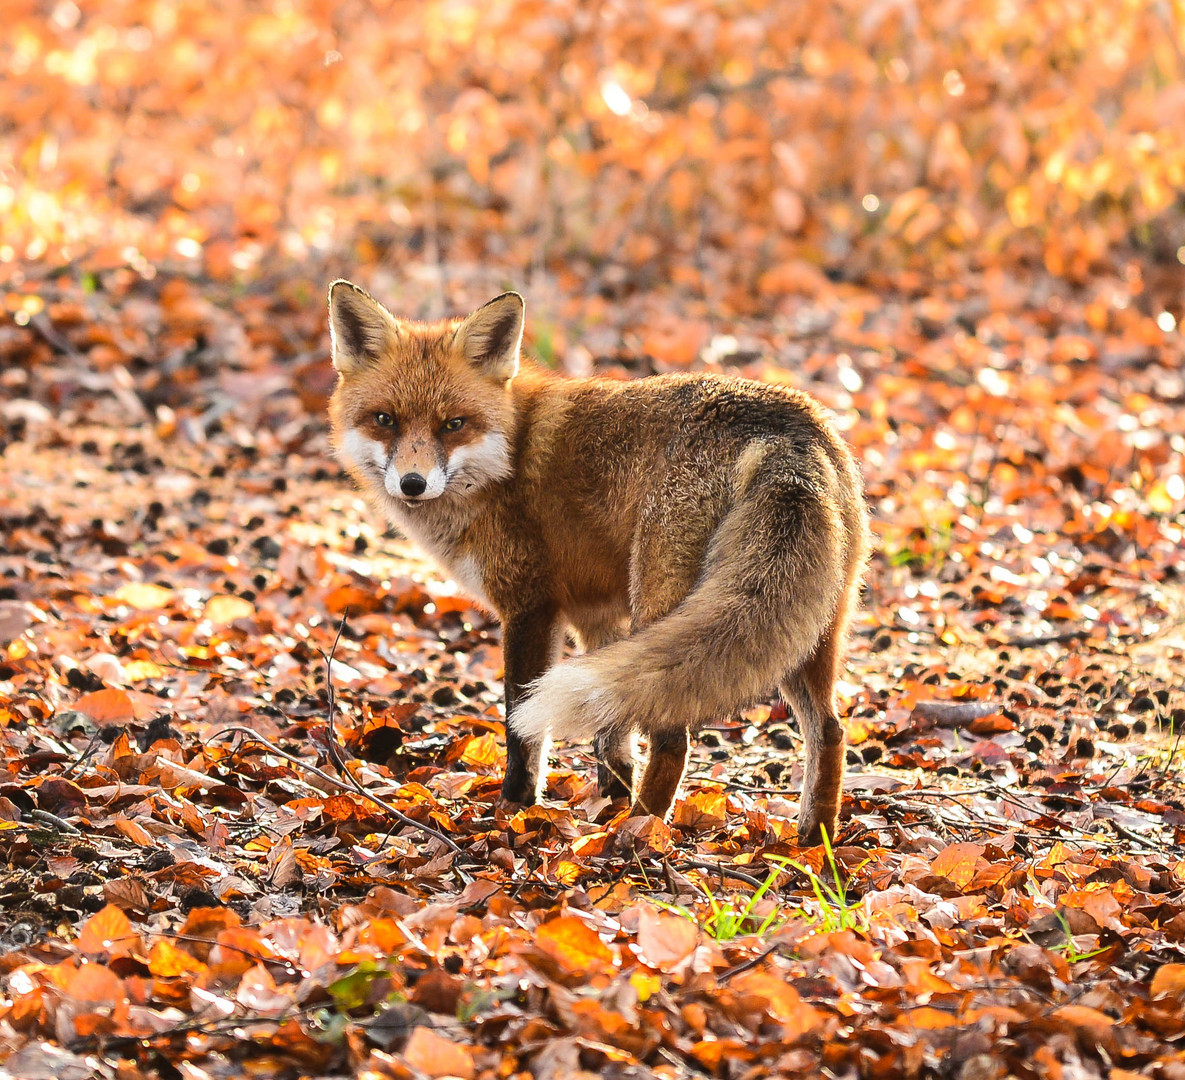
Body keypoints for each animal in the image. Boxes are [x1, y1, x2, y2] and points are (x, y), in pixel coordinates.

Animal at [329, 278, 867, 844]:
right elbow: (613, 737)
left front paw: (515, 808)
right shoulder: (596, 616)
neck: (508, 455)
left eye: (453, 424)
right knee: (830, 729)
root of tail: (782, 432)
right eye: (385, 420)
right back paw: (813, 839)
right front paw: (608, 800)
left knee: (673, 738)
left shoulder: (530, 607)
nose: (412, 484)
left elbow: (521, 725)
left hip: (666, 603)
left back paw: (635, 834)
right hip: (807, 623)